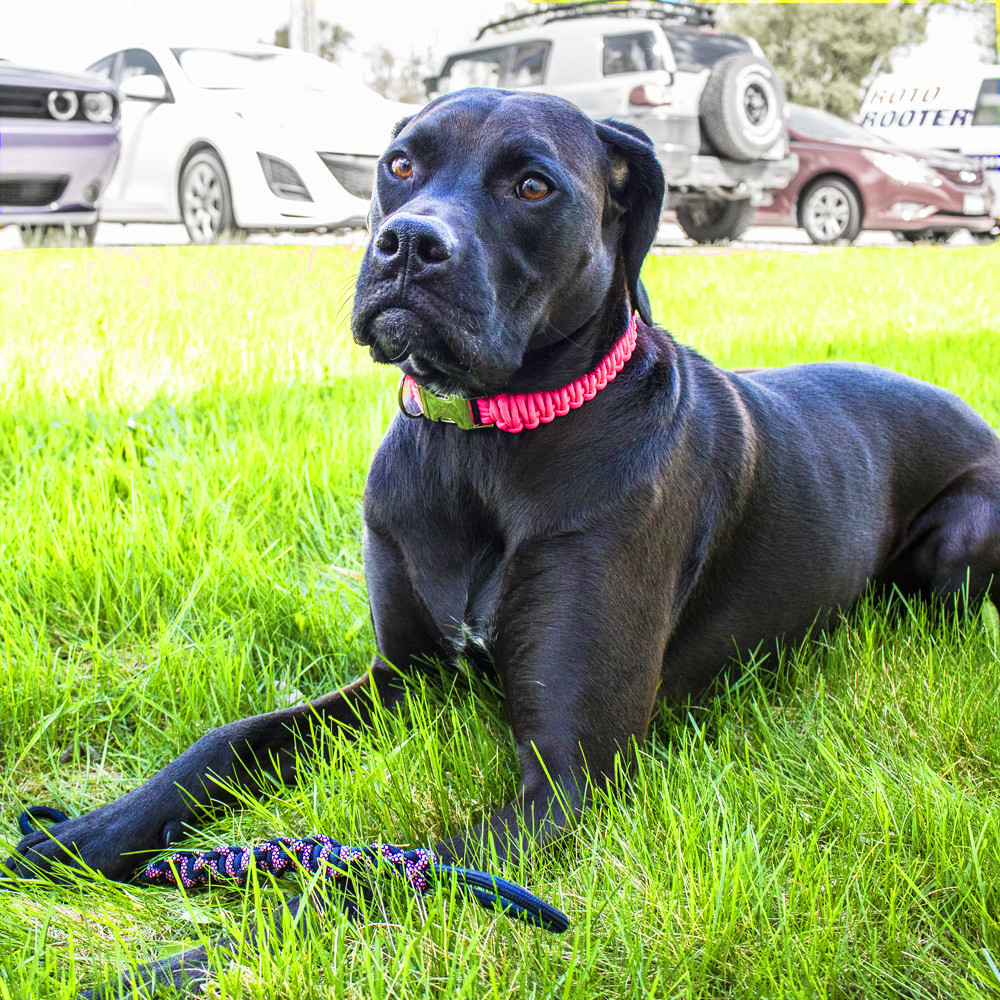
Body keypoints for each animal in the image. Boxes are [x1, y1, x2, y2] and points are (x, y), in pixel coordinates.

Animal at [7, 90, 1000, 996]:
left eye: (531, 185)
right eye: (400, 163)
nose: (408, 243)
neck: (484, 442)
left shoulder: (565, 780)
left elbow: (365, 877)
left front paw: (186, 961)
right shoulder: (401, 678)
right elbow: (229, 741)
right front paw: (79, 838)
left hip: (961, 540)